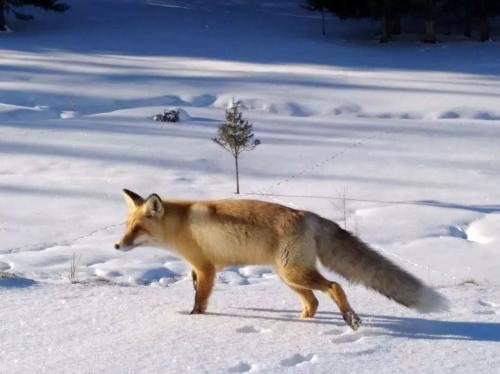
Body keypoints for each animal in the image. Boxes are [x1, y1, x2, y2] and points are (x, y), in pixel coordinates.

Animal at [114, 190, 450, 330]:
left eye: (138, 229)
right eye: (126, 226)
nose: (117, 245)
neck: (182, 223)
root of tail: (310, 216)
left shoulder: (206, 267)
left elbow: (200, 300)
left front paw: (194, 319)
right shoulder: (197, 269)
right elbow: (197, 294)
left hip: (294, 274)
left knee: (334, 287)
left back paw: (350, 319)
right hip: (289, 277)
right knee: (313, 303)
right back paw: (301, 323)